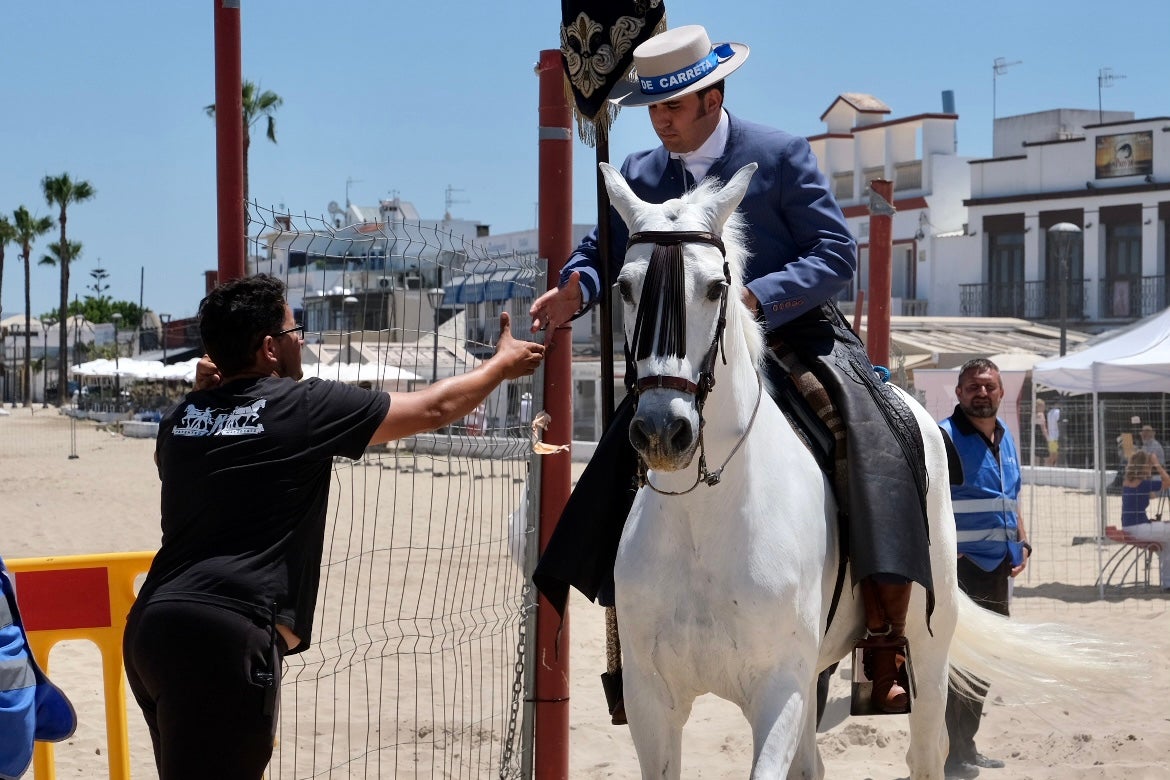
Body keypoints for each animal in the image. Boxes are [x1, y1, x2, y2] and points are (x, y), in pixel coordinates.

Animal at [608, 160, 1118, 780]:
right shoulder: (651, 702)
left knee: (927, 750)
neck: (703, 517)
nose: (663, 430)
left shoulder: (779, 690)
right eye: (625, 287)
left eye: (714, 287)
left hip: (926, 648)